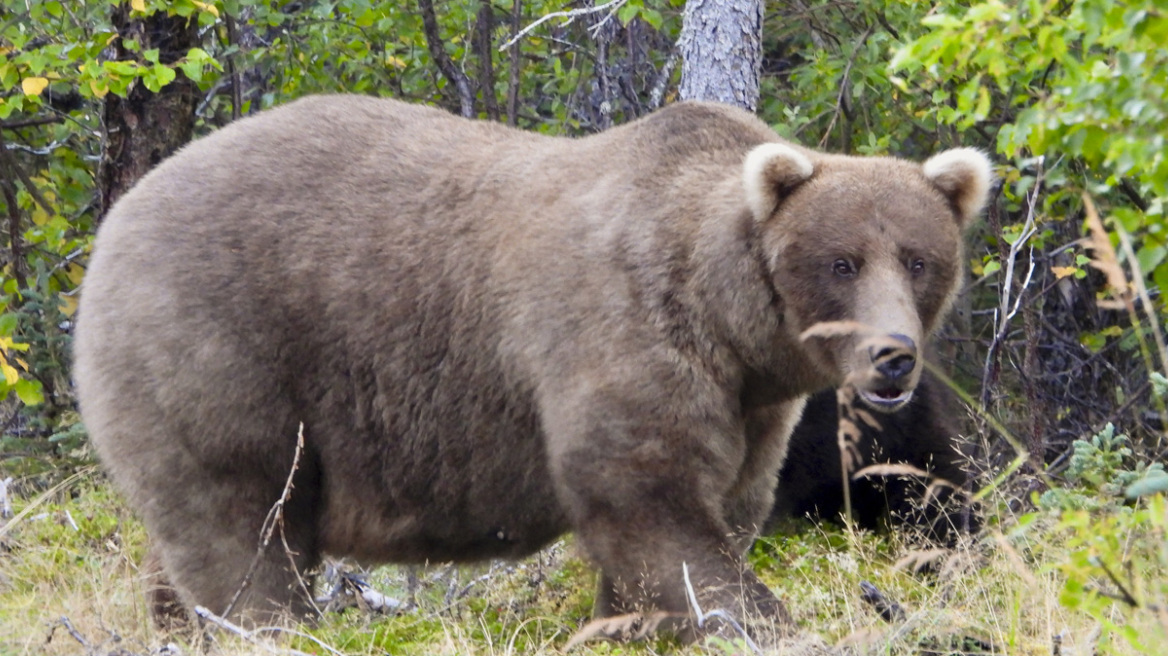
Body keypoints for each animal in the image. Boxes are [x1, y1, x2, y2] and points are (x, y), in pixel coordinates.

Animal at [73, 96, 990, 639]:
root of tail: (118, 215)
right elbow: (648, 501)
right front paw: (757, 619)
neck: (730, 322)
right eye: (841, 261)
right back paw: (270, 628)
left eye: (917, 260)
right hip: (222, 349)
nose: (892, 357)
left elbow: (722, 505)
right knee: (244, 530)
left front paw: (625, 625)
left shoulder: (752, 406)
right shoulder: (622, 330)